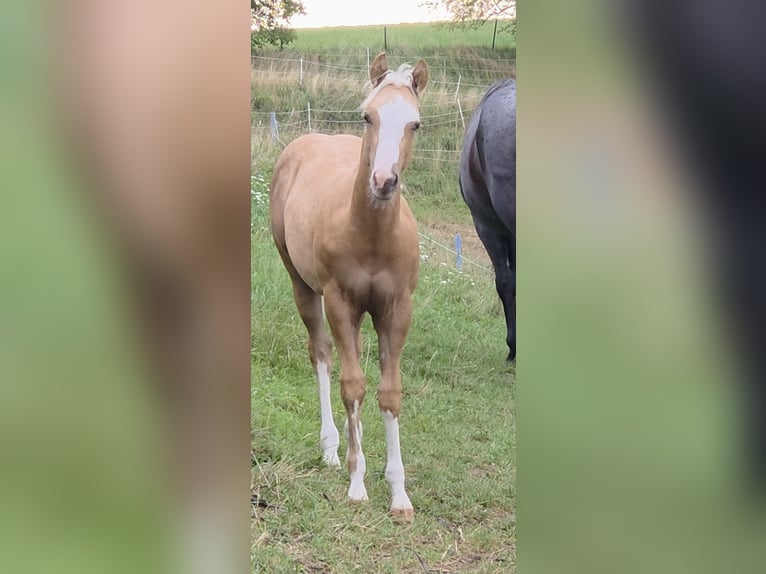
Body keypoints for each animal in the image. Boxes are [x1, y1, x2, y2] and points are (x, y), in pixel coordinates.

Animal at [269, 53, 428, 519]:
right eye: (368, 116)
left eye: (415, 123)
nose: (383, 182)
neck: (371, 235)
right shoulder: (339, 302)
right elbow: (352, 385)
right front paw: (358, 484)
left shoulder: (396, 309)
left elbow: (389, 393)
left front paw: (399, 494)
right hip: (304, 286)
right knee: (323, 356)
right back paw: (332, 446)